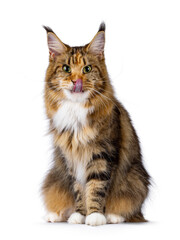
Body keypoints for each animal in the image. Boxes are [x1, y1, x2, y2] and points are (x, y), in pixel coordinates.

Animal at [41, 22, 150, 225]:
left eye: (87, 69)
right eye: (66, 69)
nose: (76, 81)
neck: (76, 110)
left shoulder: (103, 154)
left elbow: (96, 187)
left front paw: (95, 216)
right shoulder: (70, 158)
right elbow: (78, 189)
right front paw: (79, 215)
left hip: (136, 179)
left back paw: (114, 216)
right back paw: (55, 215)